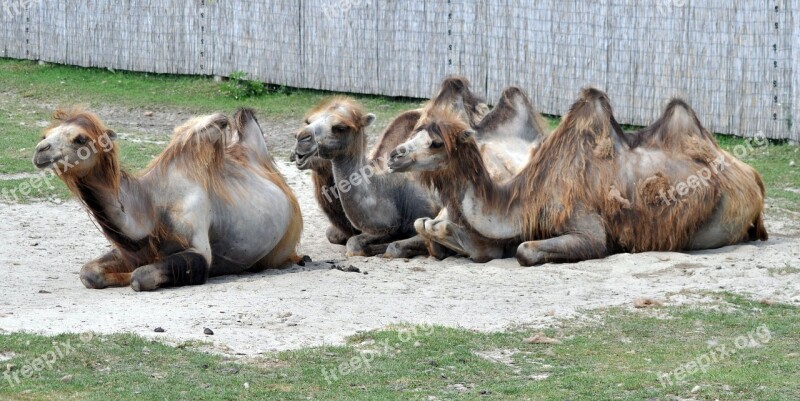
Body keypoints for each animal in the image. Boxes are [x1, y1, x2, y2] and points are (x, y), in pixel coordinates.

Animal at [32, 108, 304, 290]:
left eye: (80, 139)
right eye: (46, 134)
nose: (40, 151)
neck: (153, 205)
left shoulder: (197, 244)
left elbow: (140, 277)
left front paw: (129, 277)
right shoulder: (134, 250)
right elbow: (88, 273)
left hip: (283, 247)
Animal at [388, 87, 768, 266]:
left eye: (436, 142)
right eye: (415, 131)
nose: (394, 155)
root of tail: (753, 176)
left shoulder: (587, 227)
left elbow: (526, 250)